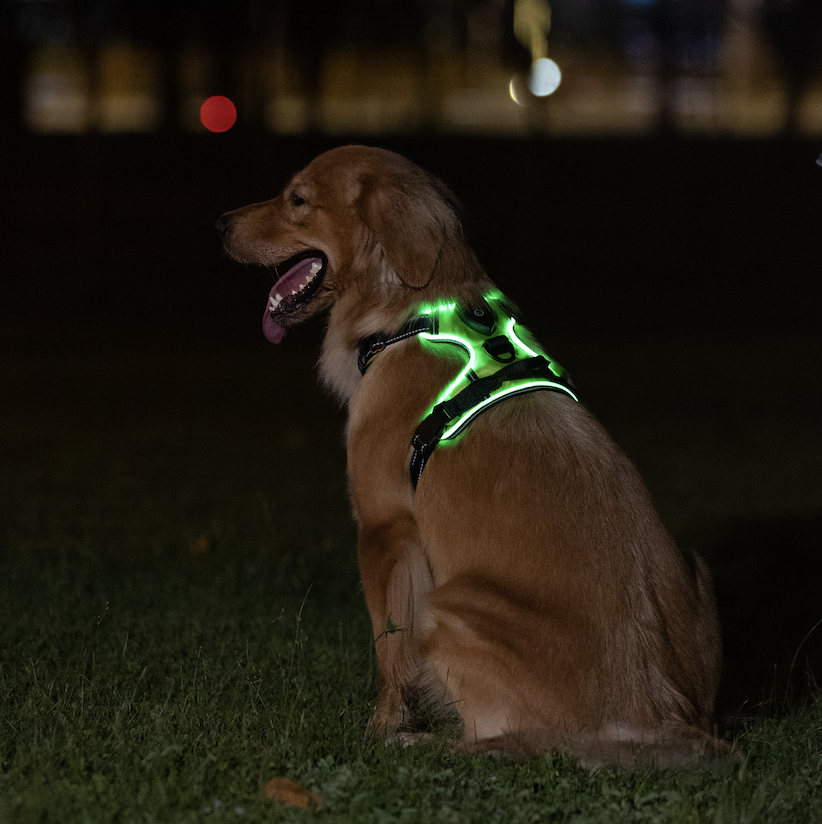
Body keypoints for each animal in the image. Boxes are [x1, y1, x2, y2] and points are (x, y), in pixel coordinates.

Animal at [216, 146, 732, 768]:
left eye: (298, 199)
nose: (219, 224)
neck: (414, 316)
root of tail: (658, 715)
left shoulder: (384, 532)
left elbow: (391, 655)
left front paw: (382, 728)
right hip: (695, 568)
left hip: (448, 606)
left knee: (493, 744)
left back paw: (421, 744)